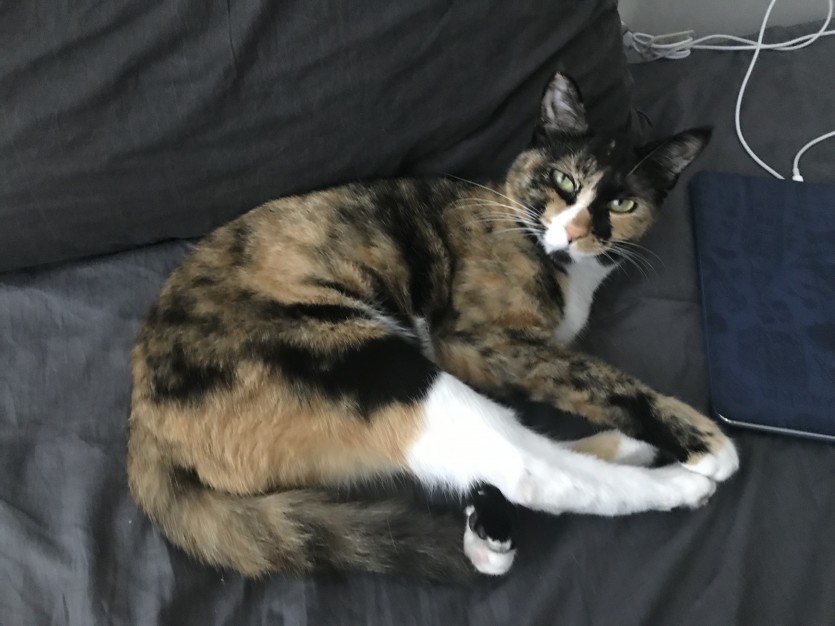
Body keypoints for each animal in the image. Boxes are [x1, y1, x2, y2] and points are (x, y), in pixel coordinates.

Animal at [127, 72, 738, 584]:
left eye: (624, 203)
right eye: (564, 180)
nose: (573, 232)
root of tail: (142, 421)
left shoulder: (484, 355)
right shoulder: (478, 338)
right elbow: (597, 378)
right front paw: (700, 439)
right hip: (365, 357)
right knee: (525, 467)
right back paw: (679, 483)